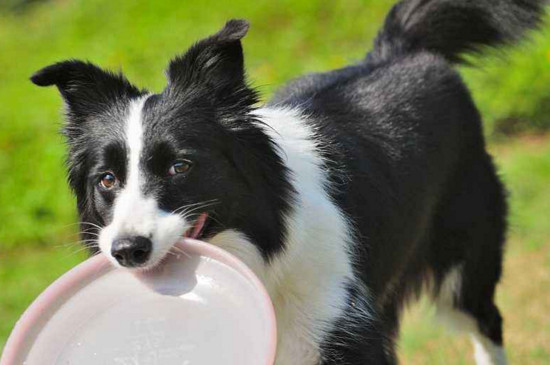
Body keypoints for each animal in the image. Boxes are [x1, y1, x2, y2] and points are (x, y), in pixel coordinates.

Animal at [32, 0, 544, 364]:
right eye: (107, 179)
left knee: (487, 327)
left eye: (180, 167)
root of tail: (401, 47)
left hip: (466, 260)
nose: (126, 251)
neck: (263, 250)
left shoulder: (342, 331)